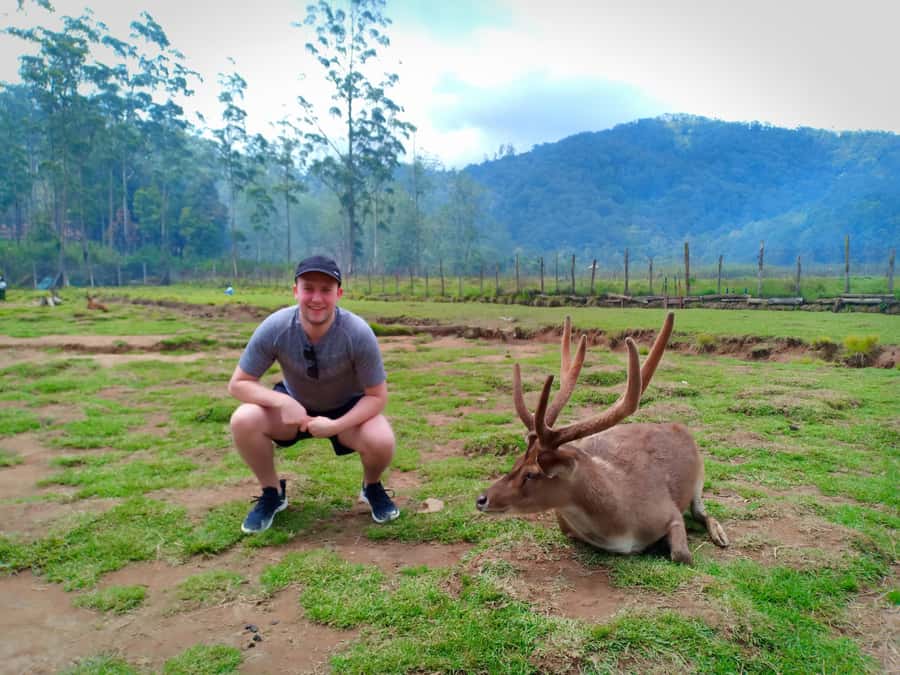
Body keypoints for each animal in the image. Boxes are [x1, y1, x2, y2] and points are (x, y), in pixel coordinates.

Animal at [476, 313, 728, 565]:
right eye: (516, 462)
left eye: (532, 473)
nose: (481, 499)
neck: (620, 527)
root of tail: (679, 427)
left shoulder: (670, 511)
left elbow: (682, 554)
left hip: (700, 477)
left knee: (701, 511)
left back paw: (720, 535)